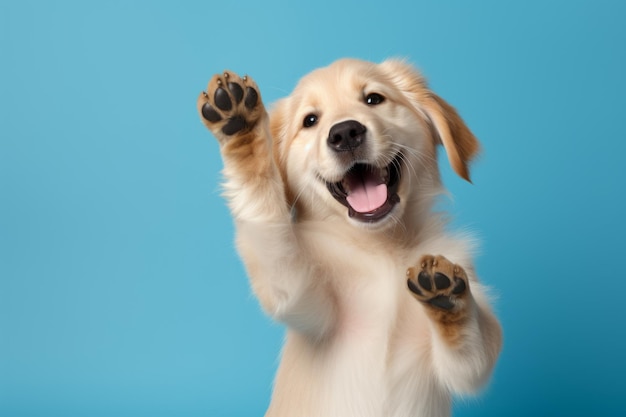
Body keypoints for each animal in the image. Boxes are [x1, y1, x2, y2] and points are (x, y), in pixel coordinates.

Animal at [197, 58, 500, 416]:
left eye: (373, 99)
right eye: (310, 121)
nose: (344, 133)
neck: (385, 249)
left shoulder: (464, 365)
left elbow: (472, 350)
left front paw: (446, 293)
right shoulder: (298, 291)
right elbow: (264, 205)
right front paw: (240, 125)